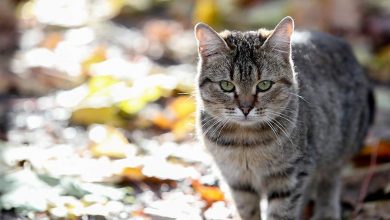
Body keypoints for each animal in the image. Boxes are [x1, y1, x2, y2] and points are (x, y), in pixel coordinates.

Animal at [193, 15, 374, 220]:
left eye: (264, 85)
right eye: (226, 85)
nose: (246, 108)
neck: (245, 142)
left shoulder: (290, 176)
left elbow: (282, 212)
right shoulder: (237, 180)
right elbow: (247, 210)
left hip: (337, 148)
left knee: (329, 179)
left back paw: (327, 211)